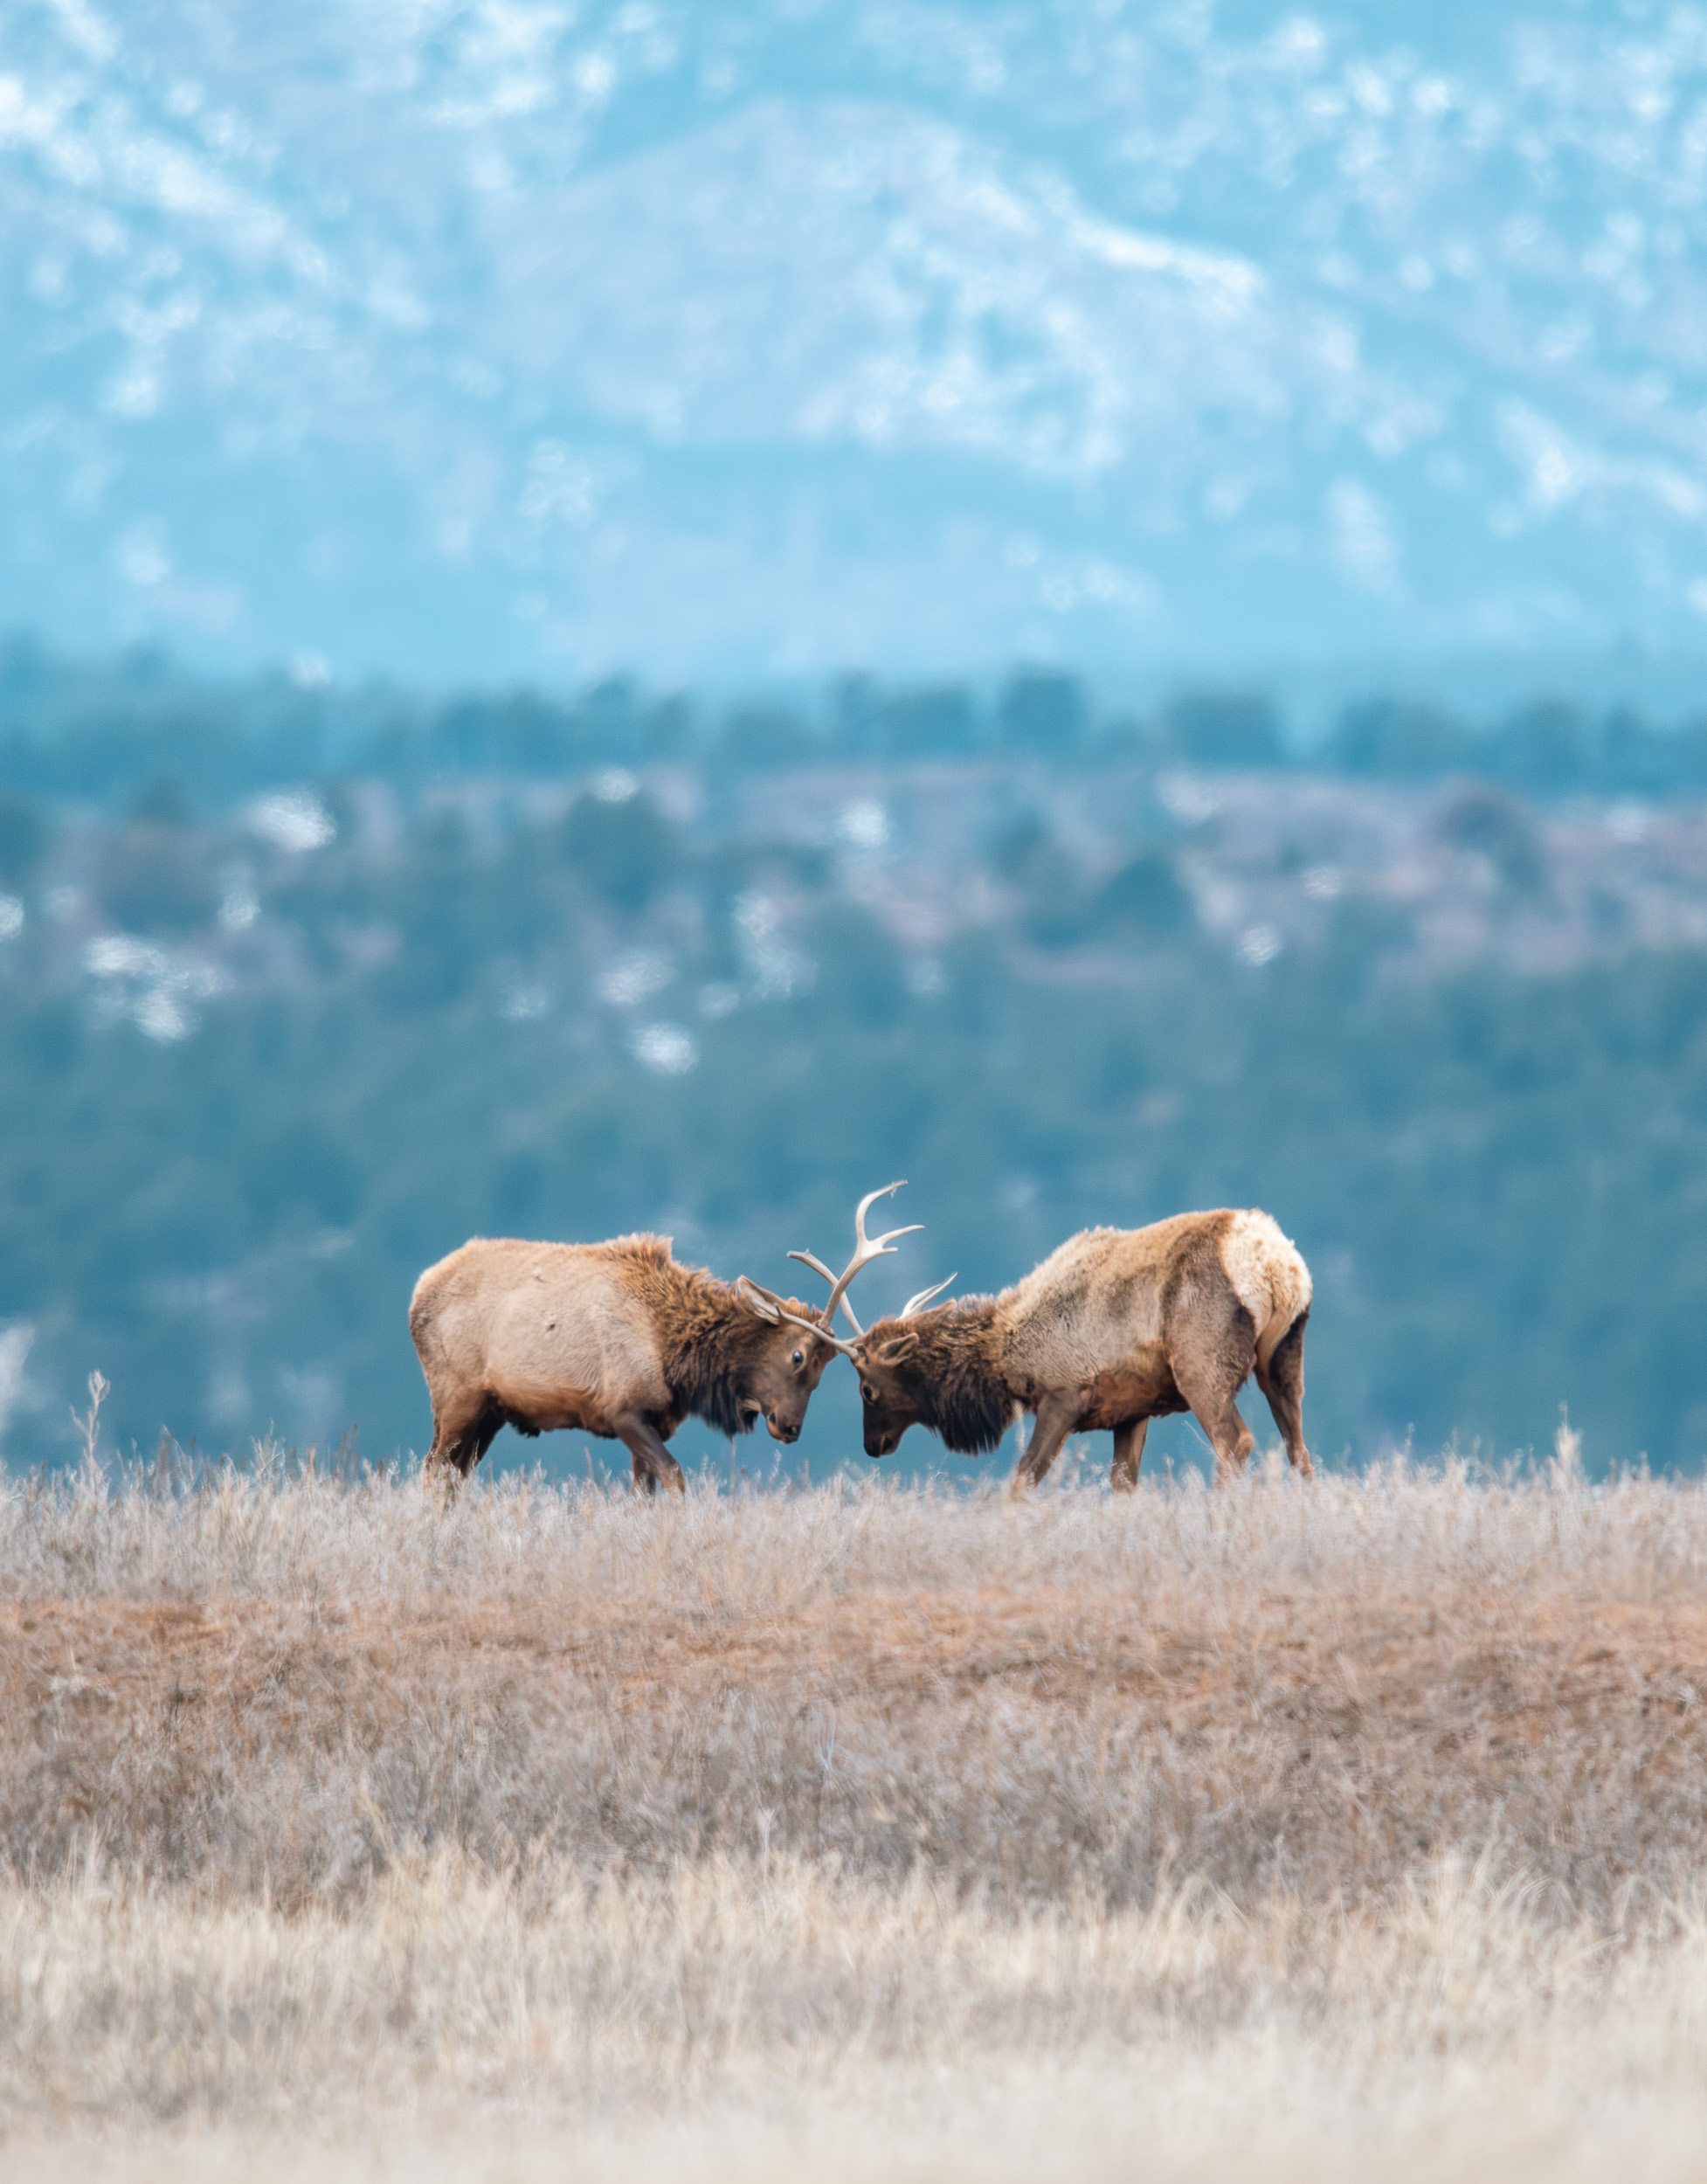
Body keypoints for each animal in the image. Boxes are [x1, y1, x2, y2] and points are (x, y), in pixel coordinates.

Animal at [408, 1185, 920, 1492]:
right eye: (798, 1356)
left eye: (823, 1370)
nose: (789, 1427)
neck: (675, 1353)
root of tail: (417, 1295)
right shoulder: (620, 1408)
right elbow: (674, 1476)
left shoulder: (655, 1419)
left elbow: (645, 1491)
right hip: (457, 1398)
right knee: (433, 1470)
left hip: (490, 1412)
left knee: (453, 1475)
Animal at [771, 1208, 1312, 1495]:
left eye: (867, 1389)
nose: (873, 1445)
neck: (1004, 1357)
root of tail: (1274, 1263)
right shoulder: (1132, 1409)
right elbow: (1122, 1483)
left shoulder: (1065, 1395)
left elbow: (1023, 1479)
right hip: (1284, 1360)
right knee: (1297, 1448)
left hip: (1201, 1363)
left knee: (1235, 1441)